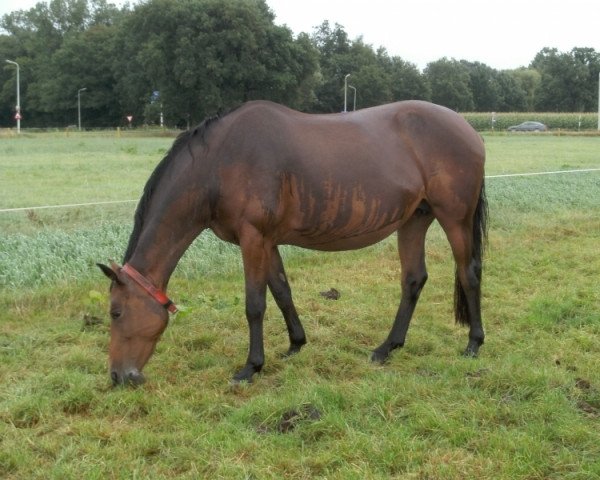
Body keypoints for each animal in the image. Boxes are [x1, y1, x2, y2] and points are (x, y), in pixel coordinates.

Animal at [98, 99, 490, 384]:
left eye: (116, 312)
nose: (118, 376)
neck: (219, 163)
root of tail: (468, 128)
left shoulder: (253, 238)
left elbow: (255, 304)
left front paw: (251, 367)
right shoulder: (266, 241)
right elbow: (282, 291)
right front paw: (295, 345)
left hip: (454, 218)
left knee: (468, 273)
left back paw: (473, 344)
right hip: (414, 219)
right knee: (413, 280)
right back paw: (385, 349)